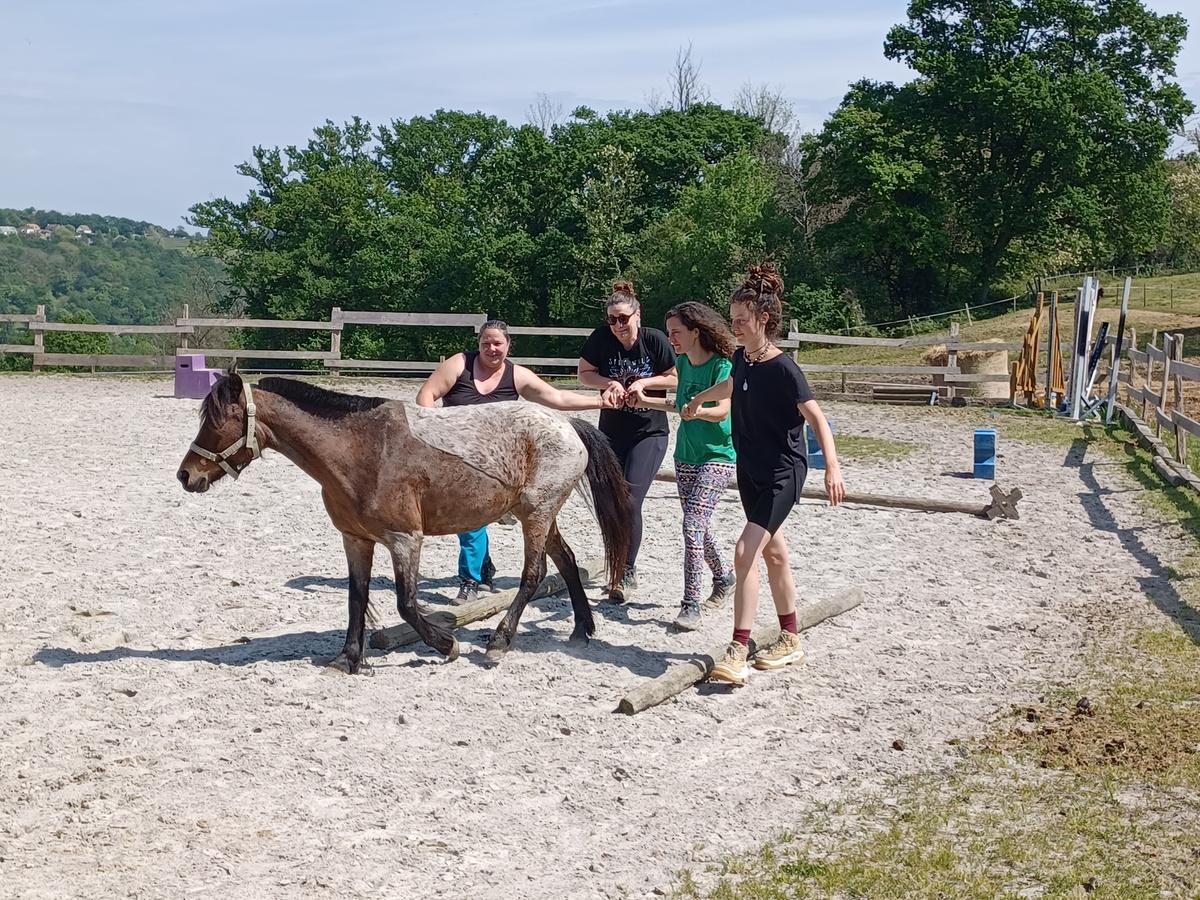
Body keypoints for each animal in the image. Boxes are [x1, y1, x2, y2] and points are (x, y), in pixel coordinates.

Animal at [175, 370, 633, 673]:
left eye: (217, 421)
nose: (185, 475)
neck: (361, 451)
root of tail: (567, 423)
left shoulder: (404, 539)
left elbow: (406, 603)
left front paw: (446, 645)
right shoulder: (355, 540)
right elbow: (356, 598)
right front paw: (348, 658)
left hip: (536, 515)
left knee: (533, 576)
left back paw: (499, 642)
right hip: (538, 515)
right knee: (567, 562)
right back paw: (582, 630)